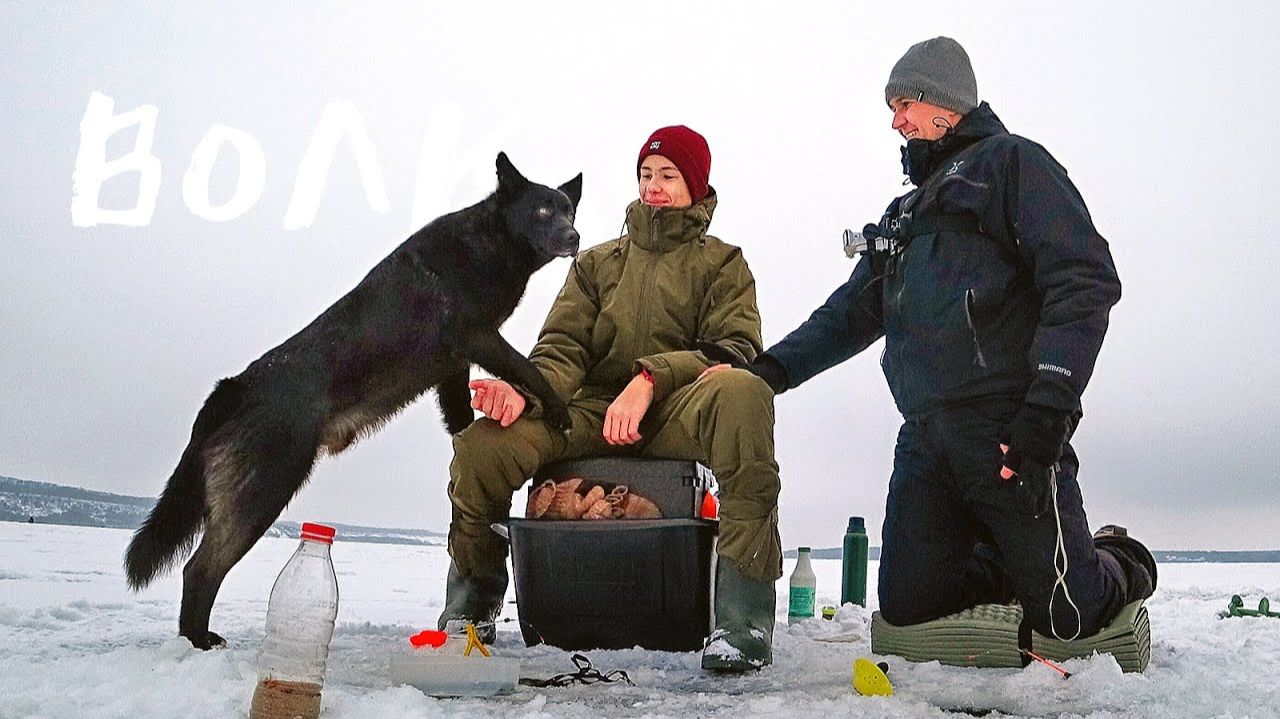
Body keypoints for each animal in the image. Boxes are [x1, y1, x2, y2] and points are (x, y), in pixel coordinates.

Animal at [125, 153, 581, 649]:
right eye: (543, 210)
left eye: (569, 211)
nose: (574, 237)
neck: (491, 242)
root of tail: (234, 387)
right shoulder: (479, 338)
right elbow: (528, 370)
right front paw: (557, 410)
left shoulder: (453, 367)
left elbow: (460, 416)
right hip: (262, 493)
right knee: (199, 570)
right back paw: (198, 640)